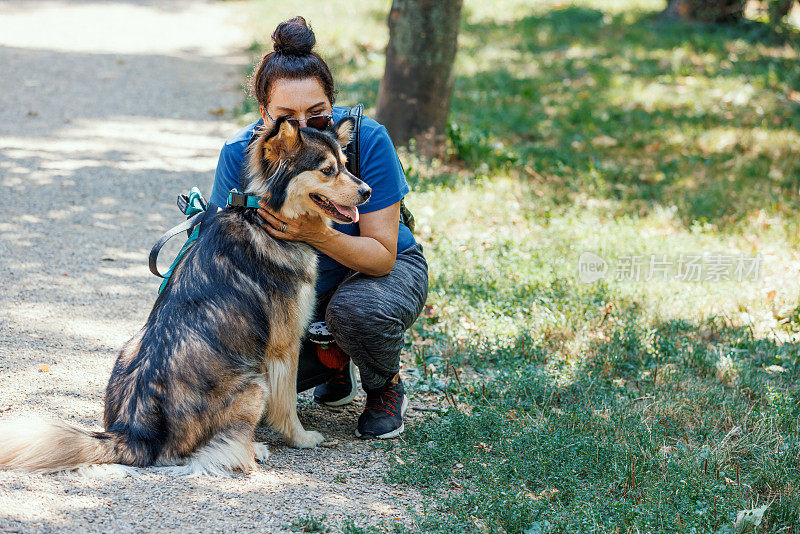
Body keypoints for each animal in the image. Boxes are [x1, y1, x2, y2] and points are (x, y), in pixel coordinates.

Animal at [0, 117, 372, 478]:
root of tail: (133, 434)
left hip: (131, 345)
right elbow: (287, 403)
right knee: (222, 452)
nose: (367, 191)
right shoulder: (284, 345)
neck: (262, 218)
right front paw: (301, 438)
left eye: (345, 163)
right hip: (253, 384)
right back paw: (254, 448)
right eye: (327, 170)